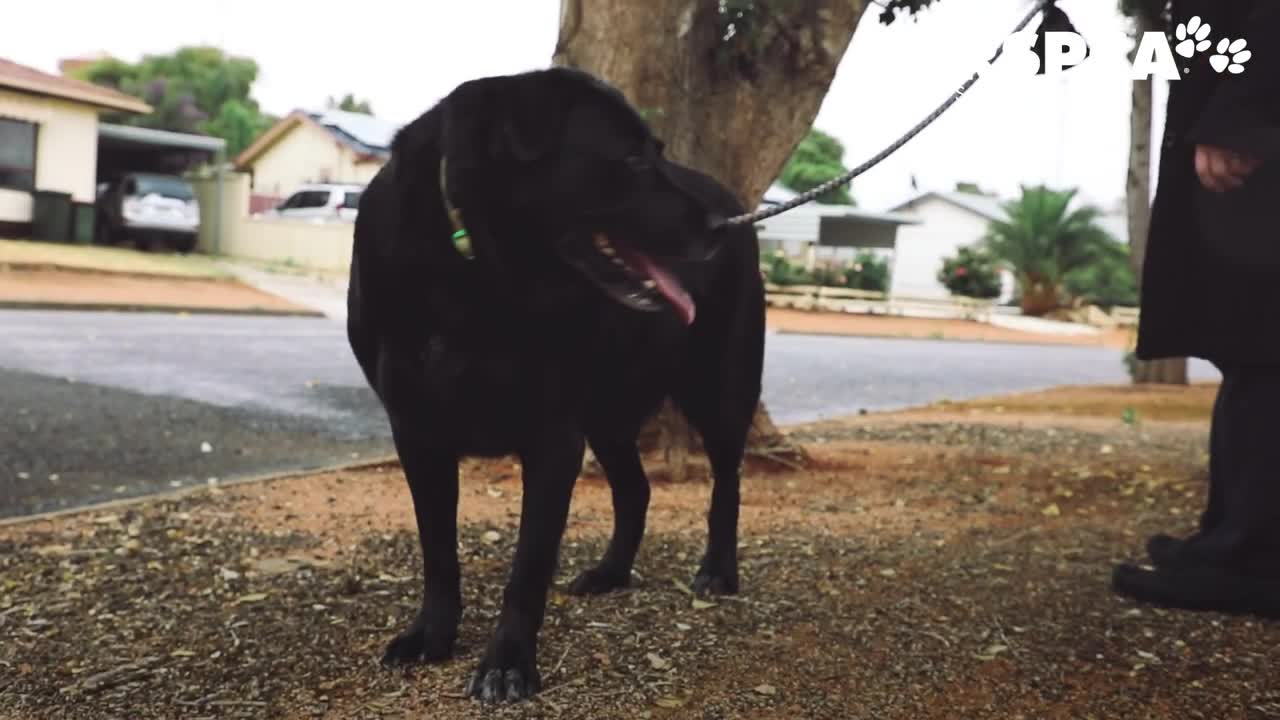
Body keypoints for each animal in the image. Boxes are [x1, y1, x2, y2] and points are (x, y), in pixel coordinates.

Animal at [345, 68, 762, 702]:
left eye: (657, 150)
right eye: (632, 157)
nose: (720, 227)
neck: (474, 272)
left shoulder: (552, 438)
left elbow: (528, 566)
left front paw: (508, 663)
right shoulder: (417, 434)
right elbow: (438, 551)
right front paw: (432, 635)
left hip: (718, 391)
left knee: (727, 484)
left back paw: (718, 571)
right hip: (609, 415)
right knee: (636, 490)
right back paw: (611, 573)